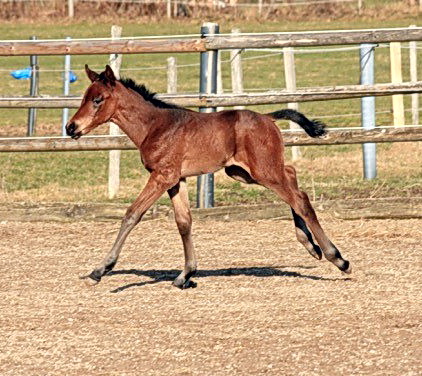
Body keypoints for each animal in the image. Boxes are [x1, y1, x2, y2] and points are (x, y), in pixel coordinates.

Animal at [66, 65, 350, 288]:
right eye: (84, 98)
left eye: (98, 99)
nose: (71, 127)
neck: (155, 126)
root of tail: (267, 117)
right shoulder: (176, 180)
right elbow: (183, 222)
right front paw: (186, 275)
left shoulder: (162, 176)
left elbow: (132, 214)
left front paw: (100, 270)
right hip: (244, 172)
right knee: (292, 178)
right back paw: (311, 246)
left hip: (262, 170)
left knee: (298, 198)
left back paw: (337, 257)